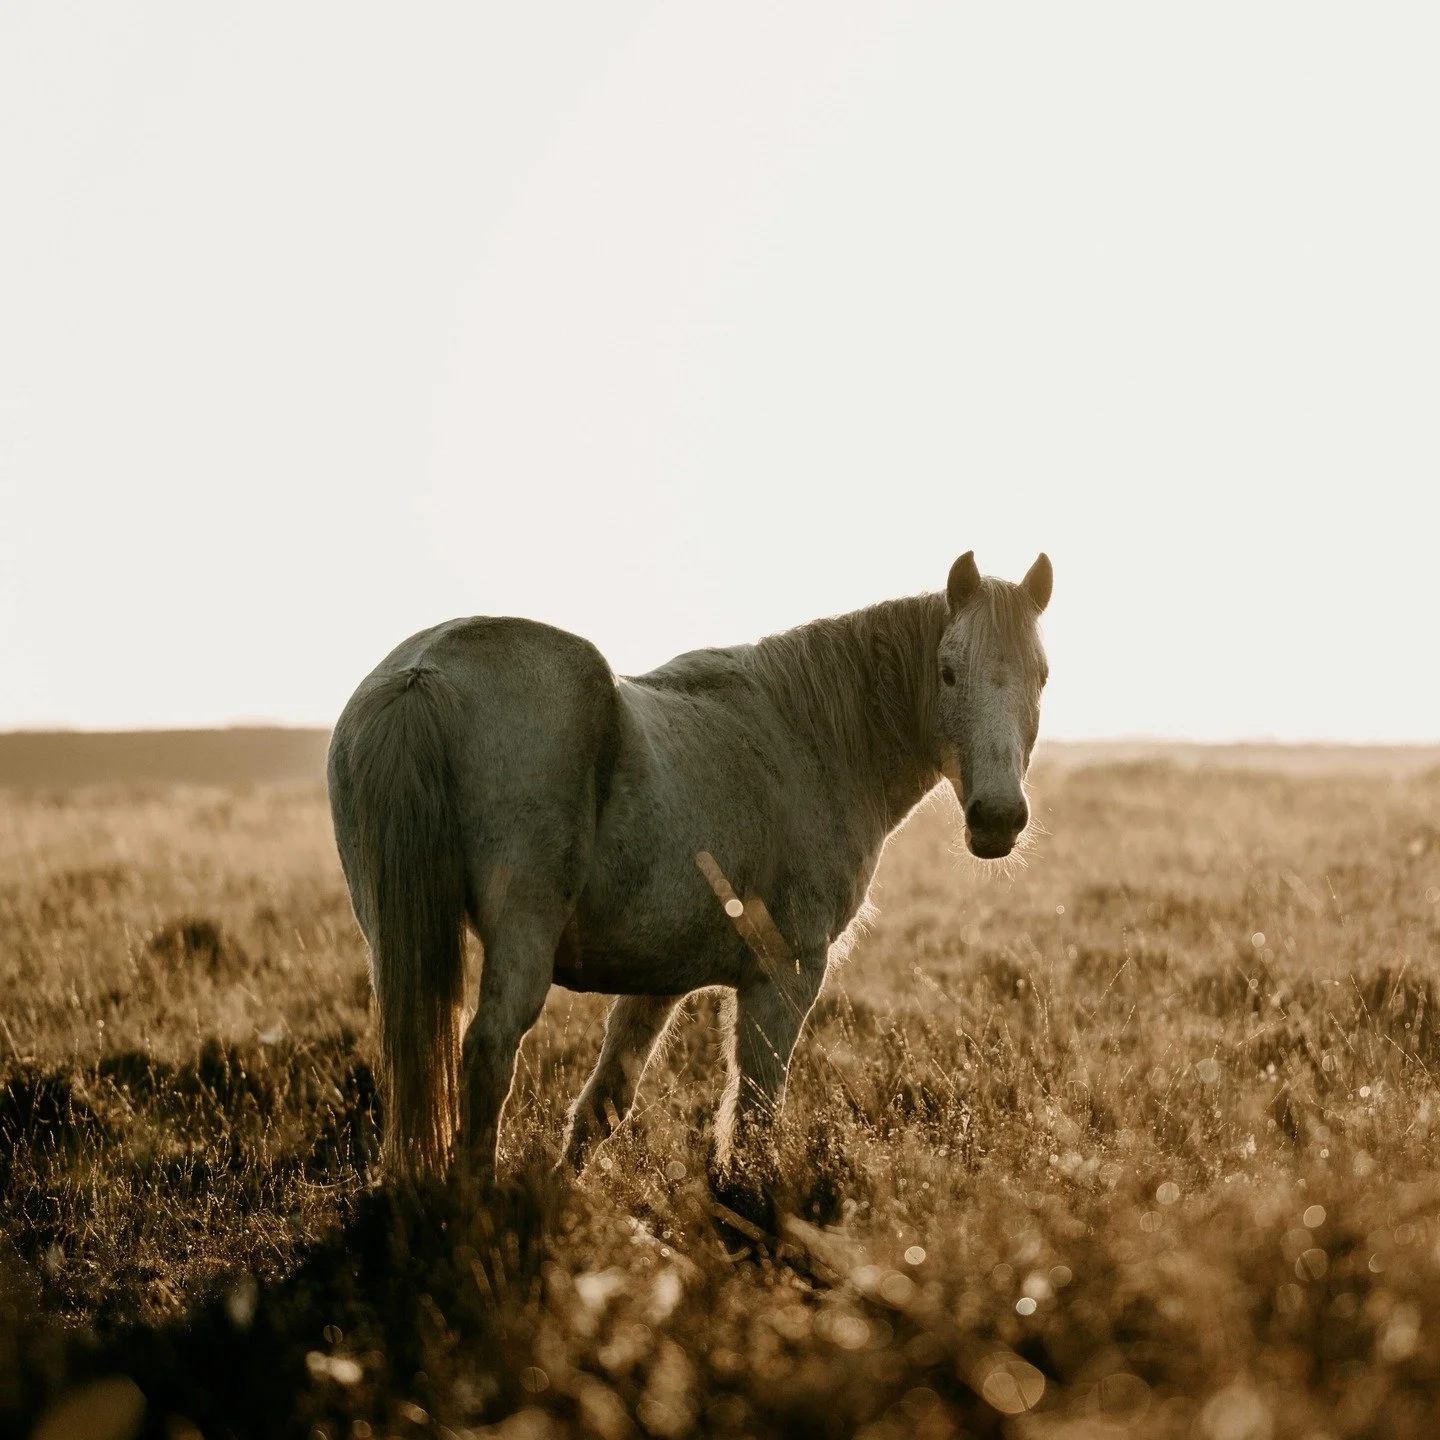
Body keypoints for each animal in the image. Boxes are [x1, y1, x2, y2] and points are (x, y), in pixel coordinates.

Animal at [326, 551, 1052, 1189]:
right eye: (948, 673)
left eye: (1041, 676)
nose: (997, 818)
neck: (809, 738)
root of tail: (425, 671)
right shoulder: (784, 975)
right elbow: (755, 1107)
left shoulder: (658, 980)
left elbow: (606, 1102)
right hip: (521, 938)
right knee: (488, 1051)